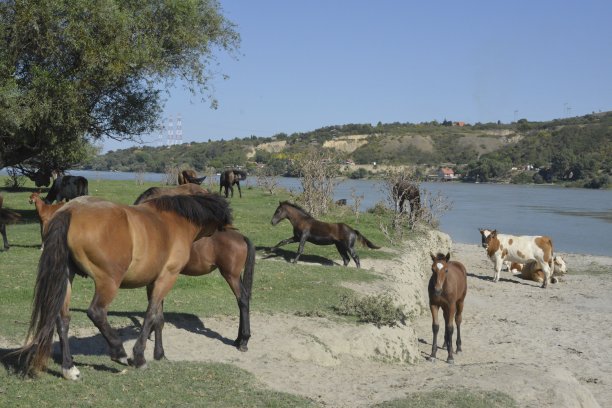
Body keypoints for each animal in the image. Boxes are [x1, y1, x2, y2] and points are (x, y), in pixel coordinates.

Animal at [16, 194, 233, 380]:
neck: (173, 221)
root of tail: (71, 210)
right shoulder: (167, 278)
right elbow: (150, 315)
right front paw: (139, 357)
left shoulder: (153, 282)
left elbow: (158, 318)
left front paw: (159, 353)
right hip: (109, 282)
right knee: (96, 312)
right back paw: (118, 351)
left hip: (66, 278)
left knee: (63, 320)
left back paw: (69, 368)